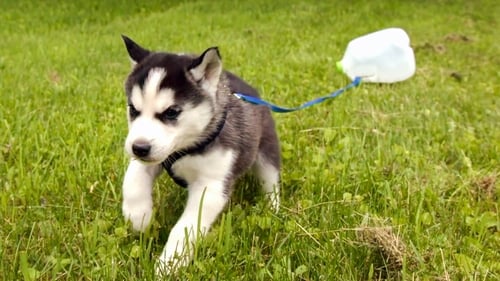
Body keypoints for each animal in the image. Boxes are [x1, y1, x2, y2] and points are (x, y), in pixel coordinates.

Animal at [119, 35, 280, 274]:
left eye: (171, 112)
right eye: (133, 109)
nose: (139, 148)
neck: (186, 148)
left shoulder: (211, 186)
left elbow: (186, 227)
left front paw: (170, 263)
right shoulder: (154, 156)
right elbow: (133, 179)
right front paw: (139, 216)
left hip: (266, 148)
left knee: (271, 179)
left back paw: (273, 208)